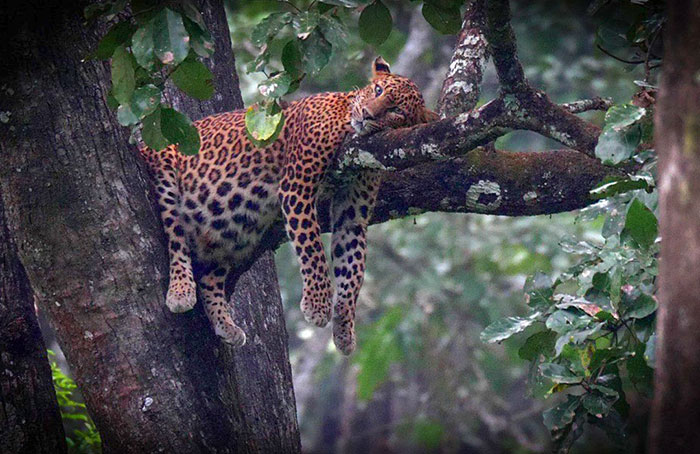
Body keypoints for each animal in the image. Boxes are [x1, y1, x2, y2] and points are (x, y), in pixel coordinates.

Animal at [140, 57, 437, 354]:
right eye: (377, 90)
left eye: (396, 110)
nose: (366, 114)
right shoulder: (297, 184)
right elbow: (312, 248)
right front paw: (318, 305)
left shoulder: (352, 212)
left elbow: (352, 268)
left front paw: (344, 328)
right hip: (164, 161)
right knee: (176, 236)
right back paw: (180, 291)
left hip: (228, 230)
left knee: (209, 275)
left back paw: (225, 324)